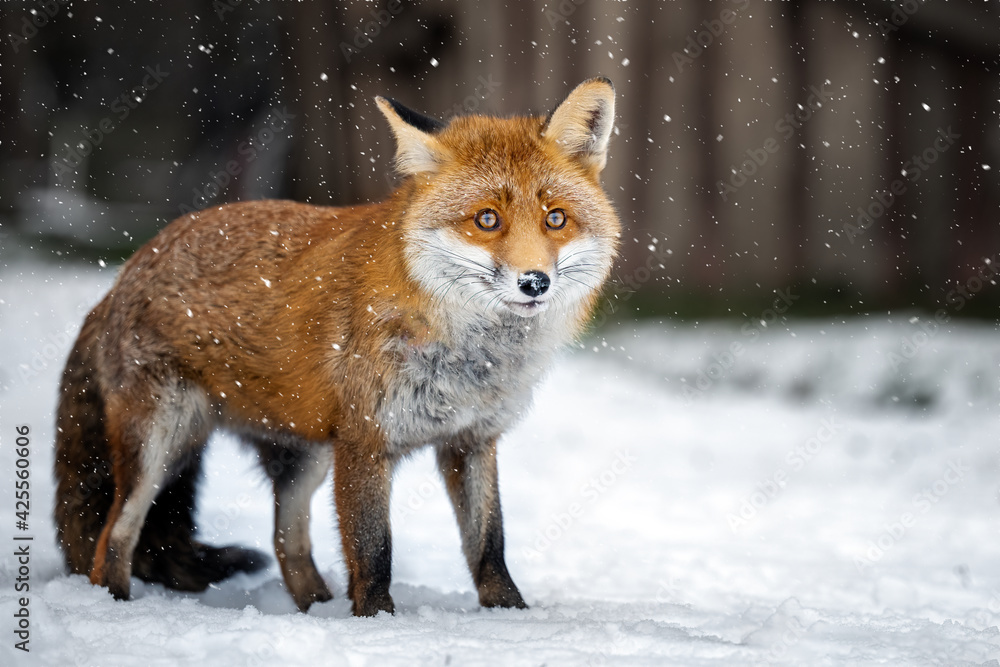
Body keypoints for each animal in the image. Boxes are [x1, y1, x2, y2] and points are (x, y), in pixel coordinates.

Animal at [54, 77, 621, 616]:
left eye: (555, 218)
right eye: (487, 219)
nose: (535, 282)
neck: (469, 353)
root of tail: (128, 269)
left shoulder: (472, 441)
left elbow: (489, 543)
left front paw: (510, 616)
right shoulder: (364, 442)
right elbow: (373, 553)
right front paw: (377, 622)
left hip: (301, 459)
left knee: (287, 544)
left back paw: (319, 611)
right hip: (159, 445)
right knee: (114, 538)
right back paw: (117, 604)